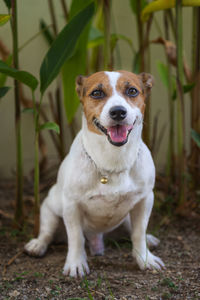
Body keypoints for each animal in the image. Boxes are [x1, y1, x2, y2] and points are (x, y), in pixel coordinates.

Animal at [24, 69, 164, 276]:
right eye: (97, 93)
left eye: (132, 91)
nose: (118, 112)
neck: (113, 159)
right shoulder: (72, 206)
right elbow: (76, 238)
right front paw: (76, 263)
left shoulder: (145, 200)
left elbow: (138, 233)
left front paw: (145, 258)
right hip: (50, 209)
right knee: (47, 233)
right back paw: (38, 245)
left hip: (127, 216)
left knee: (132, 230)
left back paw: (150, 238)